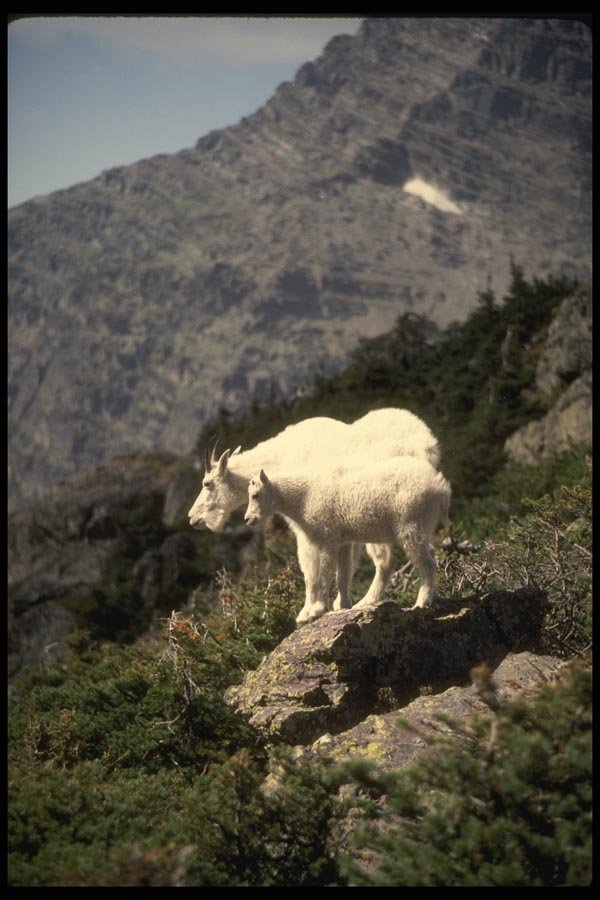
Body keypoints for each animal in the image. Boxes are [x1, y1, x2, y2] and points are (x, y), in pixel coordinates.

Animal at [244, 456, 451, 619]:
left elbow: (325, 574)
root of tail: (442, 489)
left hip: (412, 524)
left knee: (426, 563)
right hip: (425, 526)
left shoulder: (328, 538)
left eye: (255, 495)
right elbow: (342, 575)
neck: (303, 497)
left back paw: (421, 602)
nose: (248, 519)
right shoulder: (343, 541)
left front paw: (317, 610)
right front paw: (343, 606)